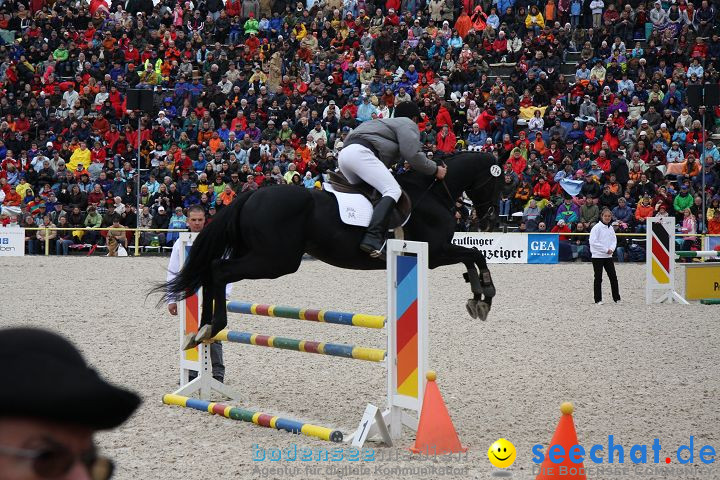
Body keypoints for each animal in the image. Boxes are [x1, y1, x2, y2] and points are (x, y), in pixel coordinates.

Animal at [162, 150, 506, 342]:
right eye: (498, 181)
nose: (490, 218)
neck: (434, 192)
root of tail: (252, 194)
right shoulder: (435, 251)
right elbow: (475, 254)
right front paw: (486, 294)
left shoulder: (437, 251)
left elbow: (471, 258)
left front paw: (477, 297)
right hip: (275, 260)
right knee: (219, 270)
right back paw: (213, 325)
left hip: (262, 255)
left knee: (212, 270)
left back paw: (201, 329)